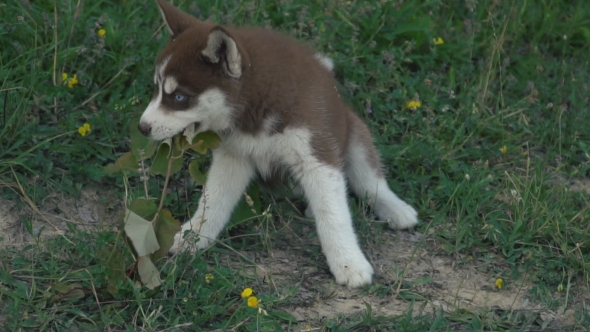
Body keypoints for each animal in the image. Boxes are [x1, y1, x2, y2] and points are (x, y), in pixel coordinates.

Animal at [139, 0, 418, 286]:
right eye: (157, 89)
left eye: (179, 97)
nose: (143, 127)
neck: (254, 108)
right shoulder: (234, 155)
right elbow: (213, 198)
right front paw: (193, 236)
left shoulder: (317, 154)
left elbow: (334, 213)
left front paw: (348, 262)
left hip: (354, 133)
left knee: (369, 181)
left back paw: (397, 209)